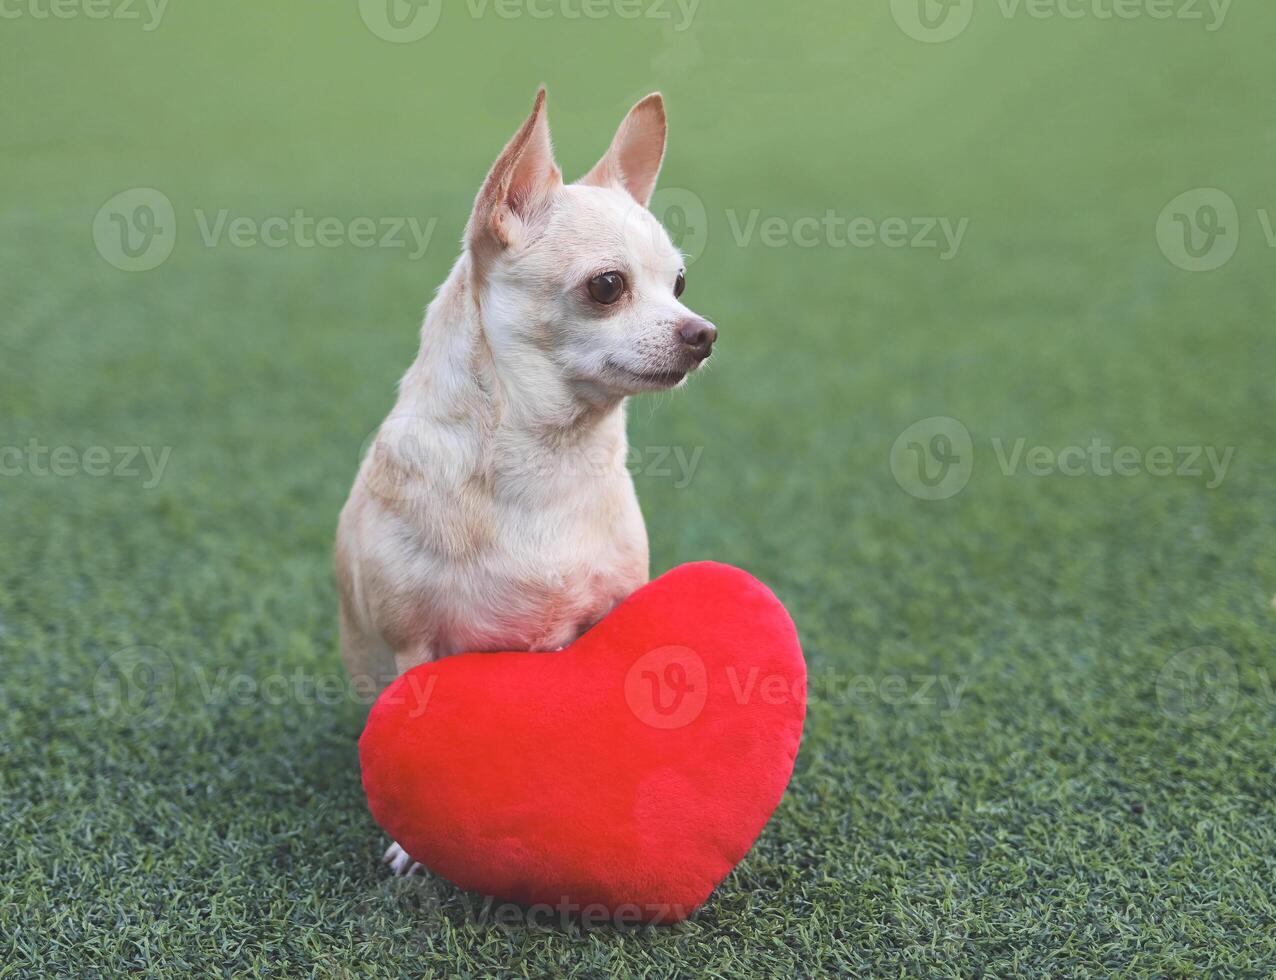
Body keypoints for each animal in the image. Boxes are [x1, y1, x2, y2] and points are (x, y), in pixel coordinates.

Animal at [336, 89, 719, 872]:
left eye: (679, 284)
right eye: (608, 286)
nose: (703, 333)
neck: (550, 456)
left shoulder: (607, 616)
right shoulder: (414, 649)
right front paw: (411, 846)